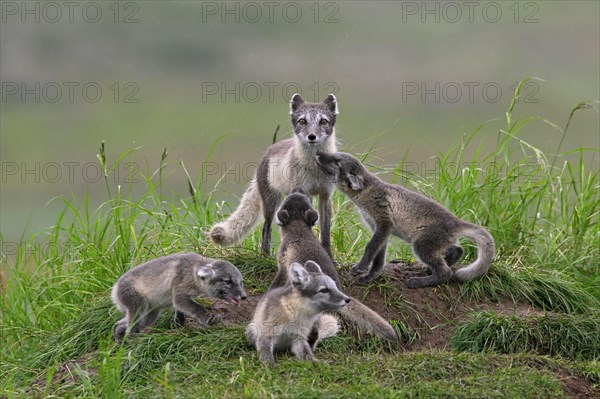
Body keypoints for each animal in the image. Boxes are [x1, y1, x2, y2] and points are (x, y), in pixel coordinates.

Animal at [111, 255, 245, 342]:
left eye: (241, 282)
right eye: (227, 281)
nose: (244, 297)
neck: (193, 270)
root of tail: (115, 288)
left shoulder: (180, 300)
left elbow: (180, 315)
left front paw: (180, 329)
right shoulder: (179, 295)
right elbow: (197, 307)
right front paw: (209, 319)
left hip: (150, 316)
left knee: (119, 325)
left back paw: (119, 340)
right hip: (140, 308)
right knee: (130, 329)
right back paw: (133, 341)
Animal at [209, 94, 338, 256]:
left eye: (323, 121)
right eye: (302, 121)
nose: (312, 136)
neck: (314, 167)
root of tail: (266, 153)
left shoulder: (325, 194)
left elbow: (325, 232)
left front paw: (328, 255)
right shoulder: (302, 191)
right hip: (271, 203)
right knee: (266, 228)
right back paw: (265, 256)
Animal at [270, 192, 398, 342]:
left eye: (286, 200)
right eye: (304, 199)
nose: (297, 192)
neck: (298, 228)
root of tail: (339, 290)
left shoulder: (283, 264)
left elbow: (276, 282)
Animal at [316, 152, 494, 288]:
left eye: (337, 161)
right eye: (335, 155)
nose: (318, 153)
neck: (366, 190)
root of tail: (456, 221)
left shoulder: (384, 223)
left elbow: (370, 248)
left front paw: (360, 268)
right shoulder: (378, 228)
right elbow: (378, 258)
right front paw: (370, 276)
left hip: (421, 246)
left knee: (446, 273)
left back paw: (418, 282)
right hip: (436, 244)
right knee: (458, 250)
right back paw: (432, 268)